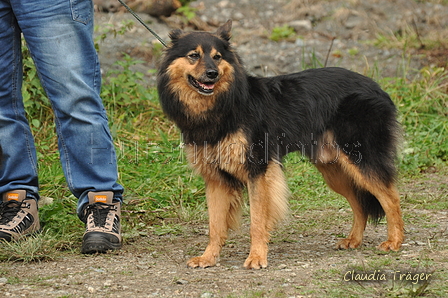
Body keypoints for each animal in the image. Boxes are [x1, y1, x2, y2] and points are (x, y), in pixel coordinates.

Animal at [157, 19, 402, 268]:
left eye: (217, 57)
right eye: (193, 55)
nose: (212, 74)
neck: (224, 105)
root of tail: (377, 88)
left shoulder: (257, 170)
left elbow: (257, 220)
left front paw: (257, 256)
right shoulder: (216, 179)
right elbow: (215, 226)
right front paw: (208, 257)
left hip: (360, 161)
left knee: (391, 198)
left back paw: (394, 242)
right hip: (334, 170)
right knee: (360, 204)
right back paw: (354, 240)